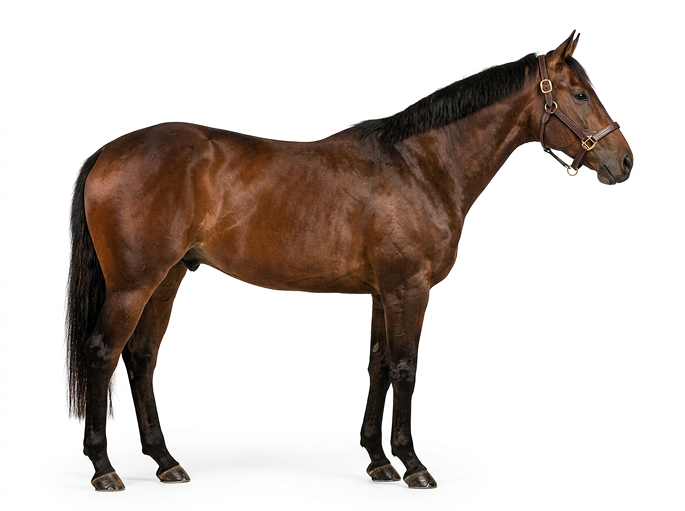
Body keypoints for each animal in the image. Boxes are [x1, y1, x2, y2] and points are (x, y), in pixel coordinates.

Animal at [66, 32, 633, 491]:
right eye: (579, 94)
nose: (624, 161)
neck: (420, 165)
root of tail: (108, 152)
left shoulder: (384, 292)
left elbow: (377, 366)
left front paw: (379, 461)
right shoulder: (409, 289)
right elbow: (406, 368)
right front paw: (413, 464)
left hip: (166, 280)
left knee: (141, 358)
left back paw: (165, 461)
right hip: (133, 285)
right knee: (102, 353)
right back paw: (104, 469)